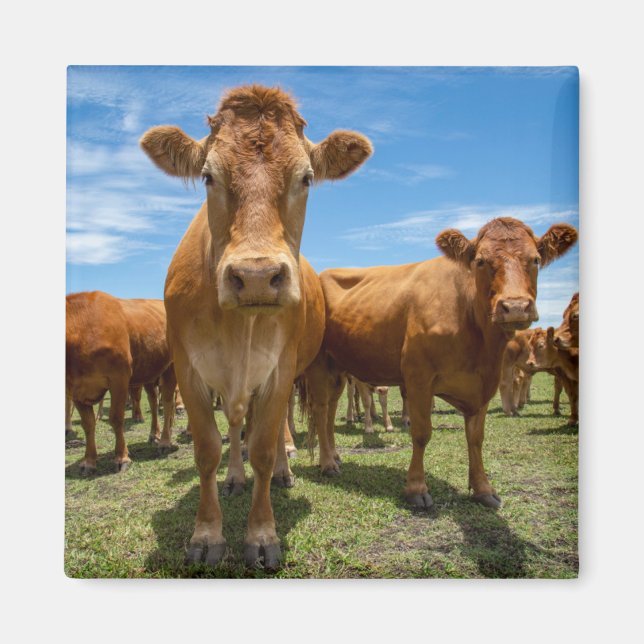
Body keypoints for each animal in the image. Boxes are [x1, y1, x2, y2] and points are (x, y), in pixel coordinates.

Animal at [66, 292, 178, 473]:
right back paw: (154, 434)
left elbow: (116, 418)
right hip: (149, 371)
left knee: (167, 403)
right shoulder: (75, 389)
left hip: (171, 367)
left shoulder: (119, 379)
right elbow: (88, 424)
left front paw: (121, 457)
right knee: (154, 402)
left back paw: (165, 442)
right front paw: (89, 461)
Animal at [140, 84, 372, 569]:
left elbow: (263, 447)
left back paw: (292, 468)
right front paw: (207, 534)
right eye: (208, 176)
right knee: (234, 425)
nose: (258, 276)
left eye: (306, 178)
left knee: (296, 420)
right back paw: (234, 477)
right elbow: (208, 448)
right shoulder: (188, 370)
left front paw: (262, 535)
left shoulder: (280, 369)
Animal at [304, 217, 577, 510]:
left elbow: (476, 438)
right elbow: (422, 433)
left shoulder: (484, 383)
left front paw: (483, 489)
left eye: (535, 259)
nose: (515, 307)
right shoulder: (418, 377)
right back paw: (327, 463)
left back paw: (333, 455)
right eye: (480, 261)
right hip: (319, 364)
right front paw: (416, 488)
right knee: (321, 409)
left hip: (338, 367)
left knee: (331, 408)